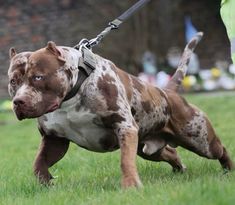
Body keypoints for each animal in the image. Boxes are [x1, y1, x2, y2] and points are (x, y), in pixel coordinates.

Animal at [7, 32, 233, 188]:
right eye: (13, 81)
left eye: (38, 77)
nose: (18, 101)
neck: (72, 94)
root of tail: (168, 91)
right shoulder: (55, 140)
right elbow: (38, 164)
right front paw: (46, 182)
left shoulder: (124, 127)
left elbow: (125, 161)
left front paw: (131, 185)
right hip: (148, 149)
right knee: (170, 152)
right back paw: (180, 169)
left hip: (200, 139)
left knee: (220, 149)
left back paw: (228, 170)